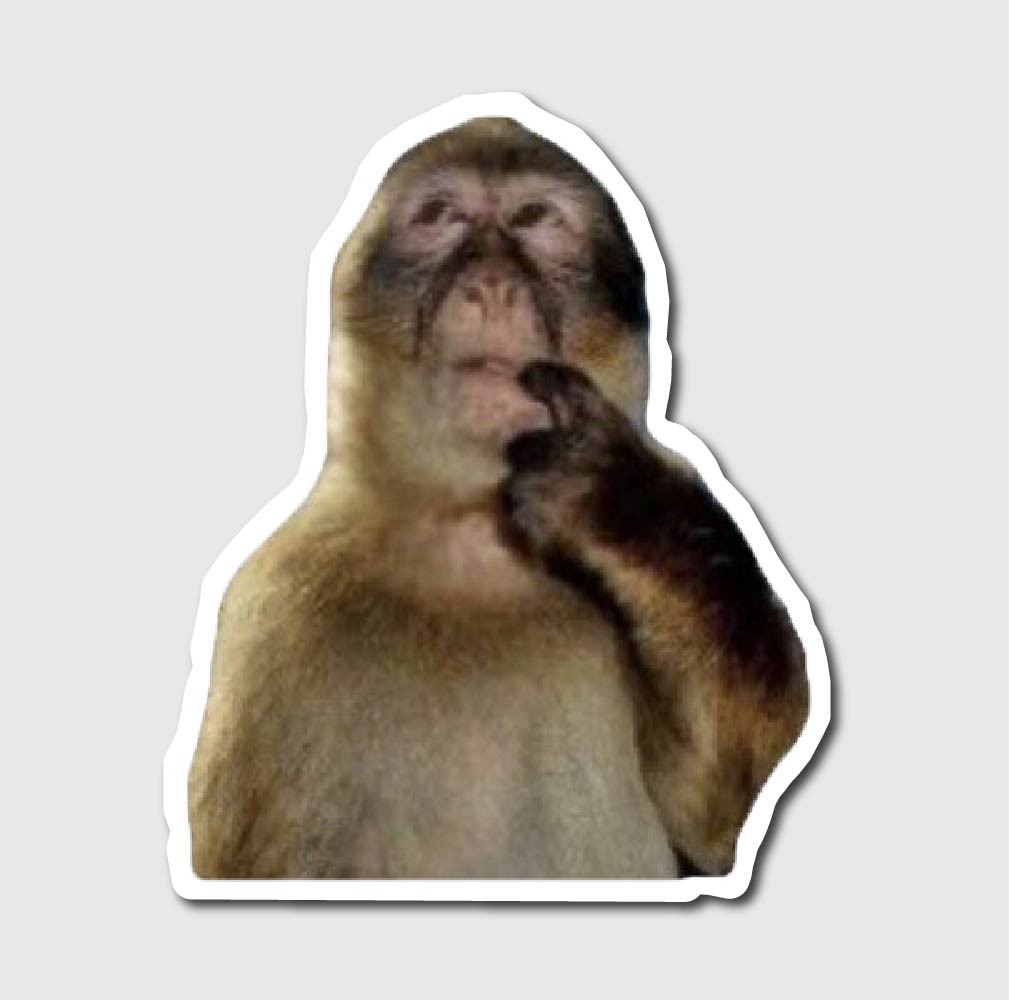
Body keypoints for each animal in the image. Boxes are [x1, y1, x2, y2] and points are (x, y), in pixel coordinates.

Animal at [188, 117, 810, 879]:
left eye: (536, 219)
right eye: (439, 216)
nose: (490, 285)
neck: (469, 536)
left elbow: (725, 814)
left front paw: (622, 506)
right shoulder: (271, 615)